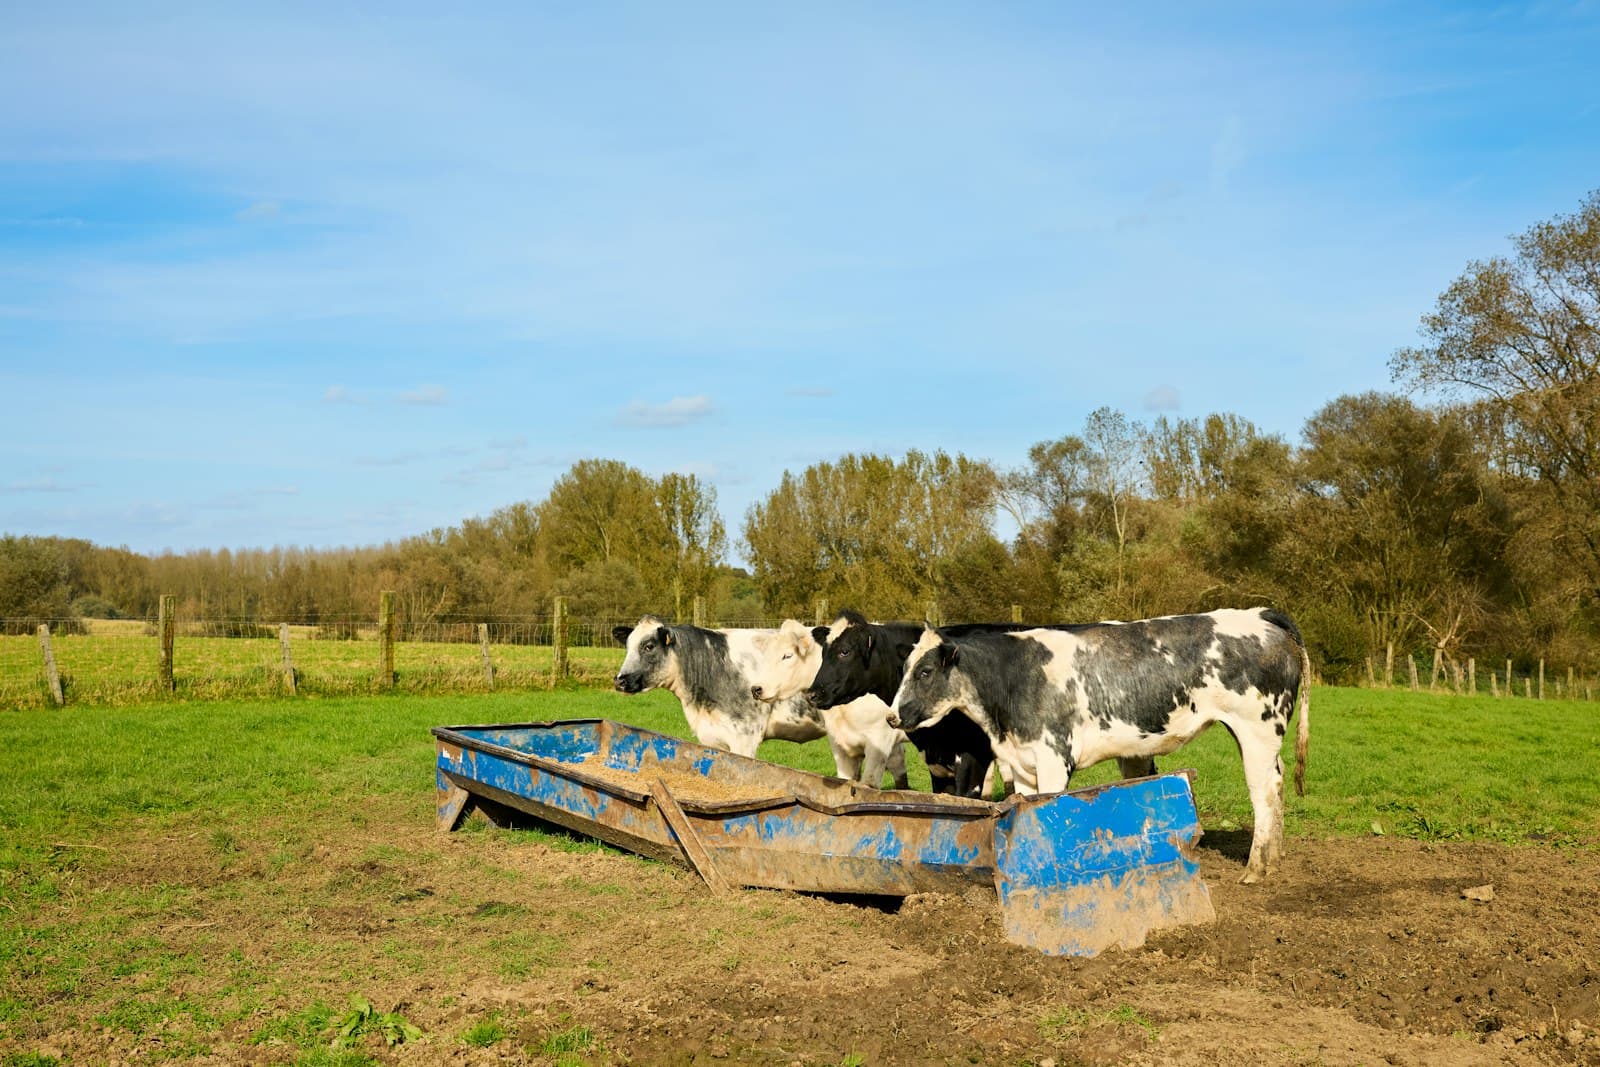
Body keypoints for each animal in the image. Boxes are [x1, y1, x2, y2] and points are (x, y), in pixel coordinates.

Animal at [887, 608, 1311, 883]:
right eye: (904, 668)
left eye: (925, 671)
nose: (892, 716)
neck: (1013, 677)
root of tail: (1260, 613)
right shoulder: (1022, 762)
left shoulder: (1054, 757)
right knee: (1277, 783)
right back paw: (1275, 857)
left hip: (1256, 728)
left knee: (1263, 791)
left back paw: (1256, 868)